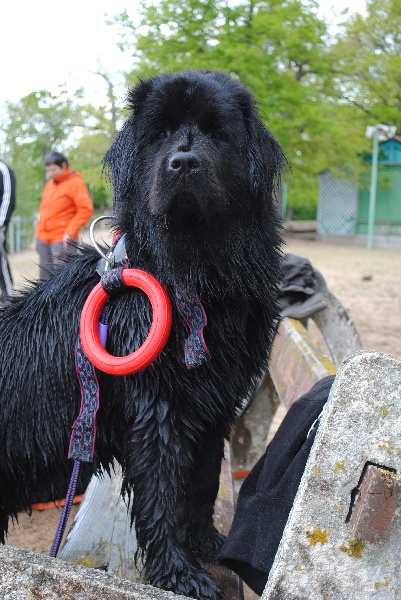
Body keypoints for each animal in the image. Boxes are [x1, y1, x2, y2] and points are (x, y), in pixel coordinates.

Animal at [0, 71, 284, 600]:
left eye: (217, 133)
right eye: (159, 135)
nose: (184, 162)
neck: (194, 273)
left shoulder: (212, 405)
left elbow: (202, 483)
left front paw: (207, 543)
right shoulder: (157, 408)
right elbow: (163, 492)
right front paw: (178, 573)